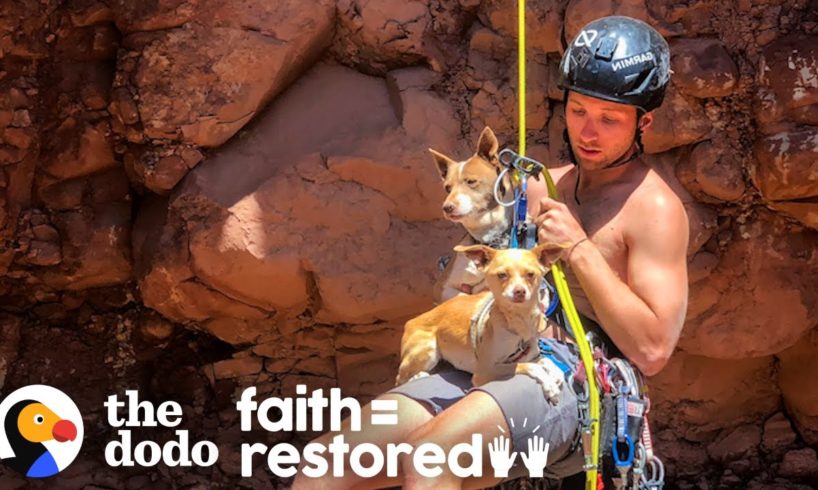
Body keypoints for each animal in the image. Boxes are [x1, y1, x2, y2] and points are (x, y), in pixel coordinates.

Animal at [396, 243, 568, 404]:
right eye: (502, 275)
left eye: (531, 274)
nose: (519, 291)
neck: (519, 322)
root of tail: (412, 321)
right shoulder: (484, 372)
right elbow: (532, 366)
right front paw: (549, 386)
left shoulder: (530, 354)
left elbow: (546, 361)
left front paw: (555, 373)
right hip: (429, 351)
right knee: (400, 378)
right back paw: (418, 376)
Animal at [430, 126, 512, 302]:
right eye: (447, 188)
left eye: (471, 182)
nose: (447, 207)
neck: (486, 238)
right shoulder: (441, 288)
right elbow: (461, 296)